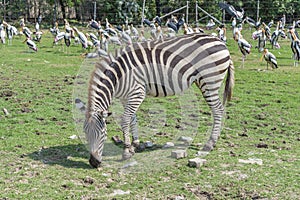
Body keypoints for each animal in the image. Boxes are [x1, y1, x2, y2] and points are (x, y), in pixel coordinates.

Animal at [84, 32, 234, 167]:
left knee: (218, 110)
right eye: (85, 134)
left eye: (103, 134)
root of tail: (221, 42)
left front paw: (126, 151)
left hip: (209, 81)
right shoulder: (126, 97)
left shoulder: (137, 93)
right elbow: (132, 118)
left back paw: (210, 143)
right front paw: (134, 145)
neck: (118, 74)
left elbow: (126, 120)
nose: (93, 163)